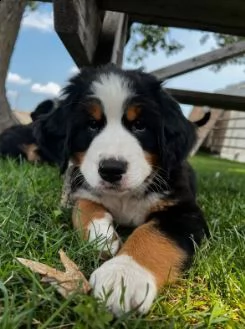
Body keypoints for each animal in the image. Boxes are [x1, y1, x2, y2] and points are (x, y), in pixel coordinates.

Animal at [33, 64, 209, 316]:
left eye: (140, 125)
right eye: (92, 124)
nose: (111, 170)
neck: (125, 197)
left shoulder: (184, 212)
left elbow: (153, 234)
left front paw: (123, 277)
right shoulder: (83, 189)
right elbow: (85, 207)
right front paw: (102, 237)